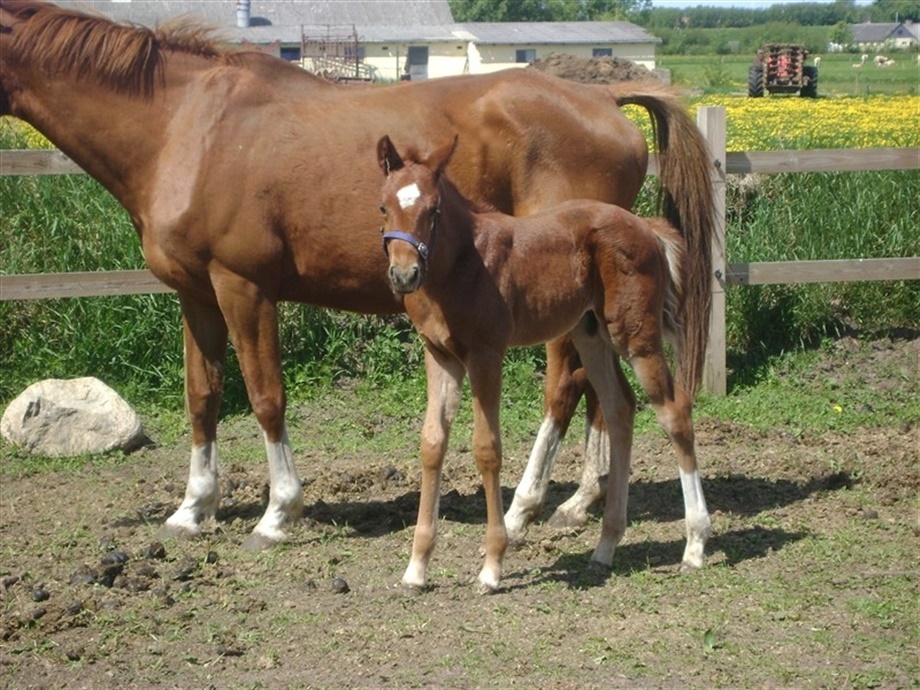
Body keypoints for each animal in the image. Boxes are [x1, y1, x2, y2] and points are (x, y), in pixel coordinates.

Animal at [378, 135, 711, 592]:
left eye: (434, 209)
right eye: (384, 207)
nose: (404, 274)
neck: (463, 264)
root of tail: (646, 227)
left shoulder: (486, 353)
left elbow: (487, 448)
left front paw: (492, 566)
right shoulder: (440, 355)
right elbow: (432, 443)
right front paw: (416, 568)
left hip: (635, 335)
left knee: (674, 412)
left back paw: (695, 545)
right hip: (591, 334)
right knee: (620, 407)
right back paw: (605, 547)